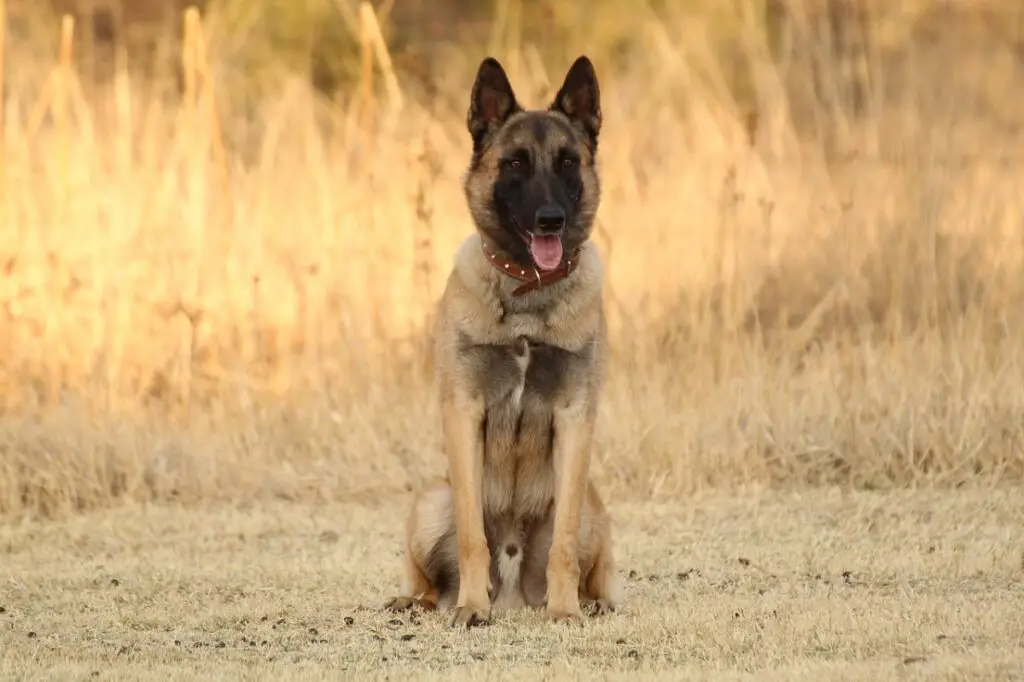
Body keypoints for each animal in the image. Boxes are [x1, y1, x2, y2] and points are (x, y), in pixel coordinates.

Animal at [385, 55, 618, 622]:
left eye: (567, 162)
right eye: (515, 164)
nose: (551, 219)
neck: (526, 293)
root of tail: (514, 594)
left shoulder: (576, 416)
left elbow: (563, 545)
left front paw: (565, 611)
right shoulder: (463, 411)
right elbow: (473, 535)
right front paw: (472, 607)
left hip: (594, 506)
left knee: (589, 567)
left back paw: (587, 604)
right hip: (432, 499)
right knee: (432, 582)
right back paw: (420, 601)